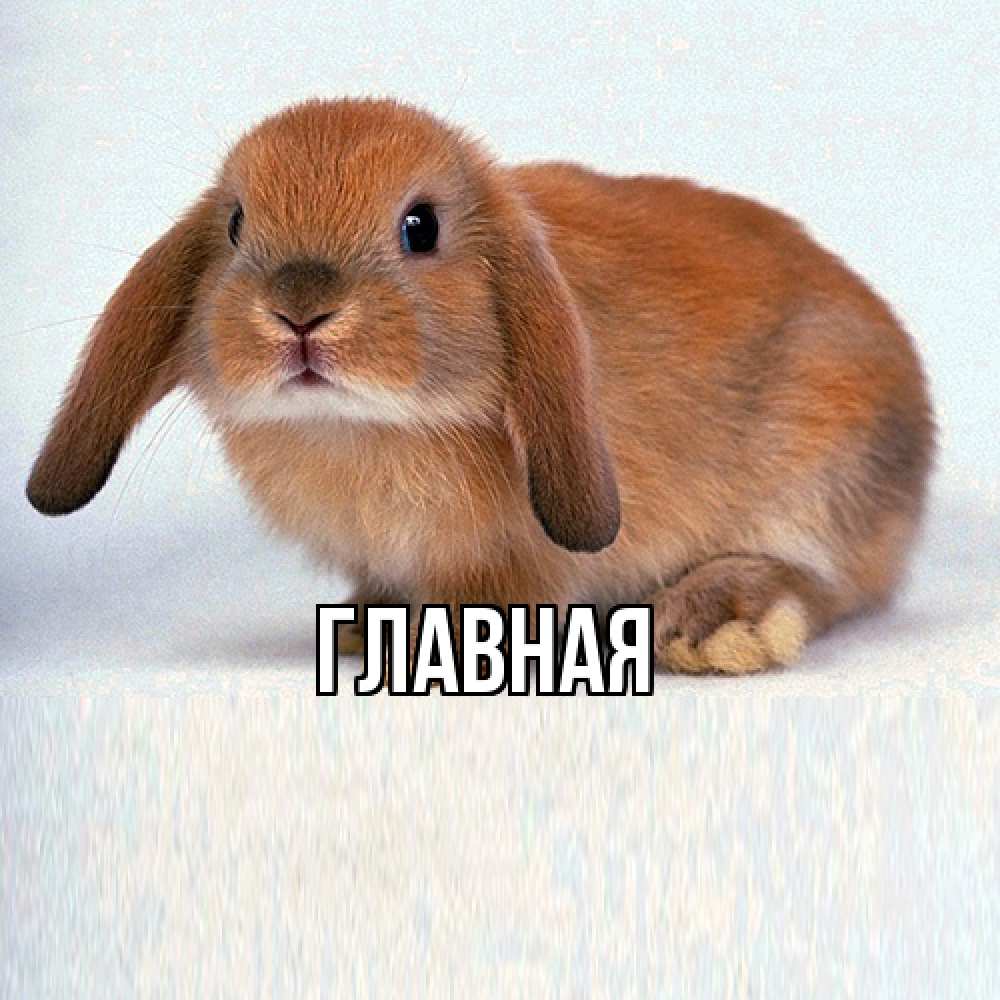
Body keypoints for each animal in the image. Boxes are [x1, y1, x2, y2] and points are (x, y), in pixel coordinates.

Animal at [26, 97, 934, 674]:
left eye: (420, 227)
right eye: (237, 224)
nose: (300, 311)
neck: (360, 428)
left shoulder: (515, 562)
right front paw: (363, 627)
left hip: (822, 464)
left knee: (825, 583)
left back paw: (714, 625)